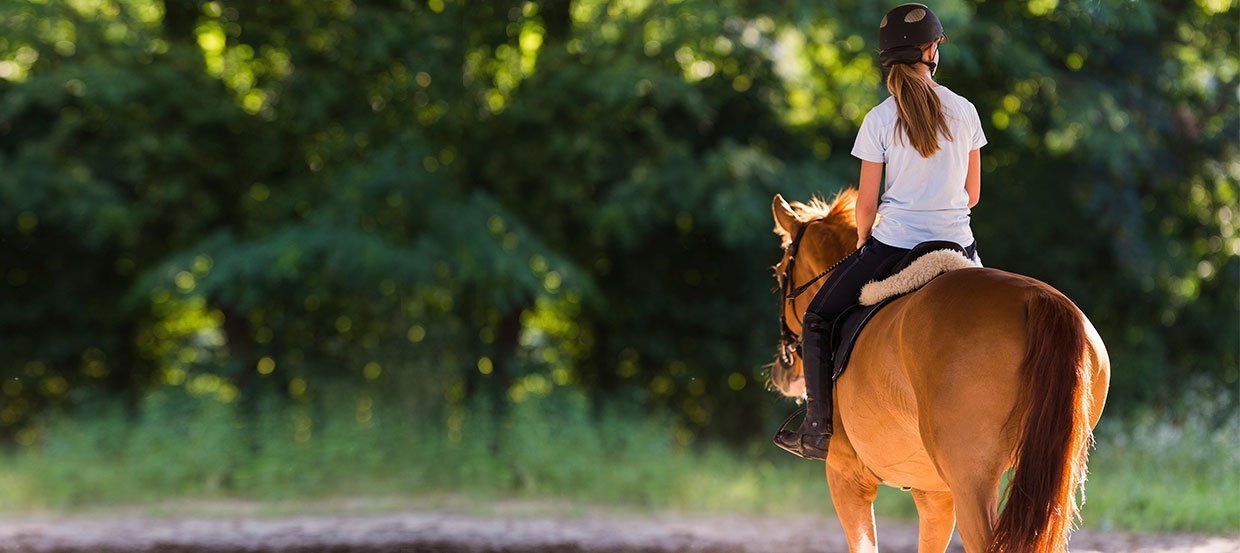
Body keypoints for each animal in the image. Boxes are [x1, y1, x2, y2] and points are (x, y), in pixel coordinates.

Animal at [763, 189, 1116, 553]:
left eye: (779, 273)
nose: (782, 372)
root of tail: (1037, 297)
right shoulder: (934, 494)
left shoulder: (846, 478)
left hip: (972, 482)